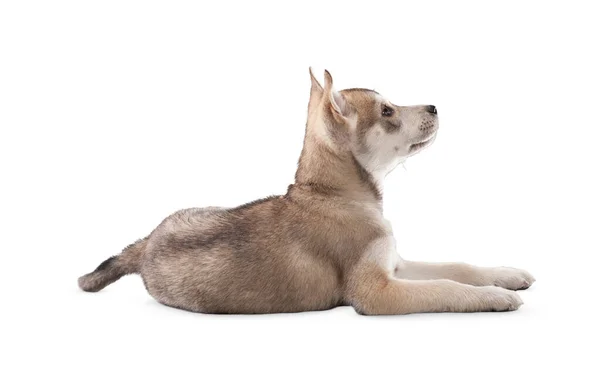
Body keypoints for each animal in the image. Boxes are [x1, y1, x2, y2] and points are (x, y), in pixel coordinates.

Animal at [78, 69, 536, 316]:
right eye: (387, 111)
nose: (435, 107)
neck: (335, 194)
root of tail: (147, 245)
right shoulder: (376, 291)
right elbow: (445, 288)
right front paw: (493, 297)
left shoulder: (396, 263)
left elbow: (457, 266)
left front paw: (505, 275)